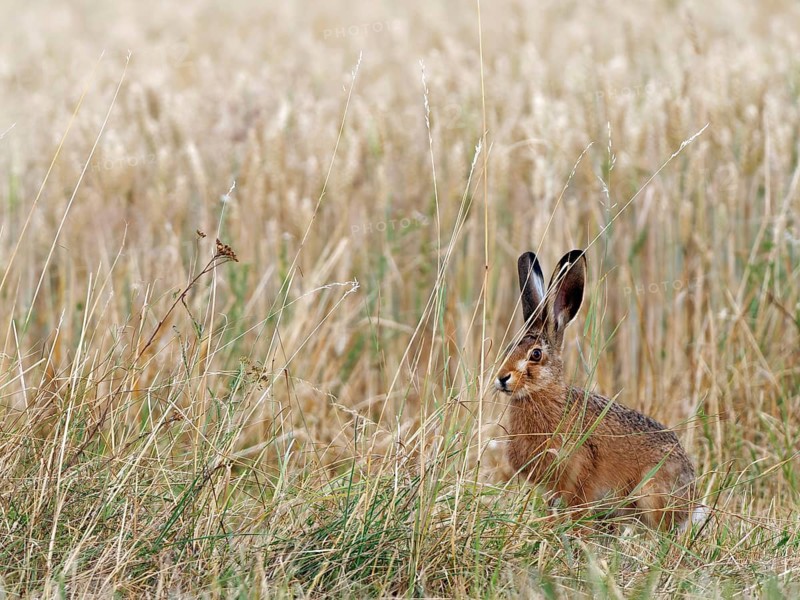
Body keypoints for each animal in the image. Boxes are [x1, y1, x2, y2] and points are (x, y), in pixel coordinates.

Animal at [495, 250, 706, 531]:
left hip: (650, 493)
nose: (502, 378)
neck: (545, 394)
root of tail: (690, 501)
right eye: (508, 349)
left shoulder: (579, 476)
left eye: (536, 355)